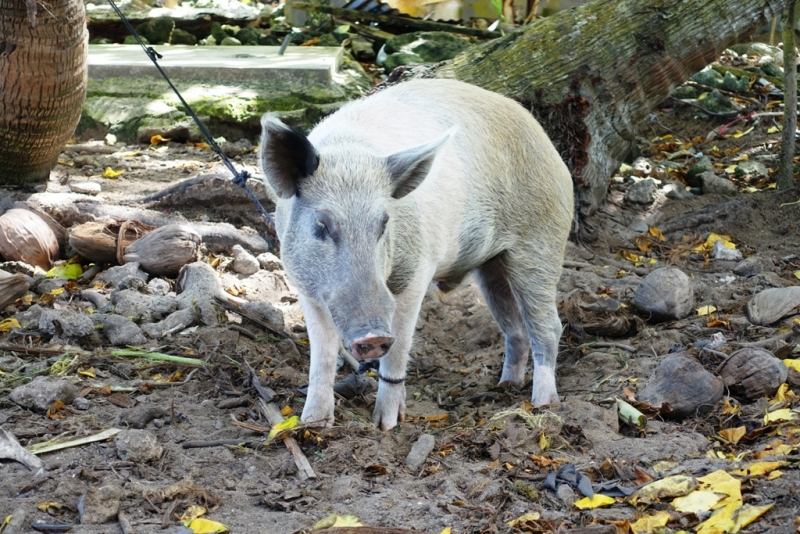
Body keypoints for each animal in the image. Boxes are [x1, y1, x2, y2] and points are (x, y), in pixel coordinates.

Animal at [260, 79, 576, 432]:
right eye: (321, 224)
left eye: (384, 222)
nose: (374, 335)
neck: (350, 151)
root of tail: (549, 147)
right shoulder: (305, 286)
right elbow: (323, 354)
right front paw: (313, 424)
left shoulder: (417, 271)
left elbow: (398, 349)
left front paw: (385, 426)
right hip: (491, 264)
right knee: (514, 328)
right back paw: (505, 385)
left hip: (541, 242)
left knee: (548, 326)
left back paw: (543, 403)